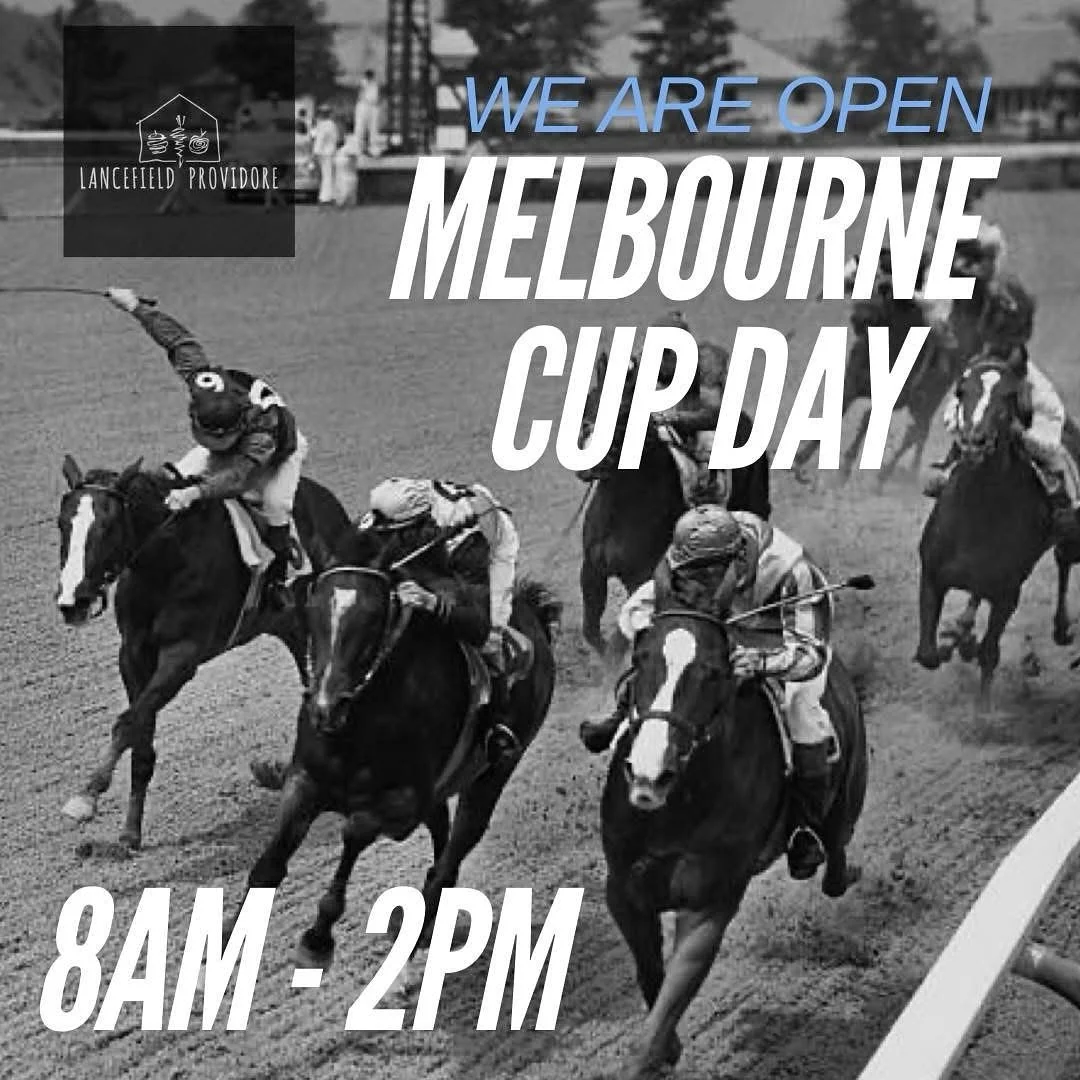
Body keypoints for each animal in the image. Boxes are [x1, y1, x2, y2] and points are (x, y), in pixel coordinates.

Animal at [55, 455, 352, 850]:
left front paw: (86, 796)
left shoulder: (182, 657)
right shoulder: (132, 654)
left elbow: (127, 721)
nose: (73, 602)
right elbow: (140, 736)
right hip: (289, 625)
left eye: (108, 526)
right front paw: (130, 833)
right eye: (62, 524)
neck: (166, 559)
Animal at [232, 524, 560, 969]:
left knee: (455, 851)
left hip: (493, 774)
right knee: (441, 837)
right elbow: (269, 865)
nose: (325, 707)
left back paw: (418, 931)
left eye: (373, 618)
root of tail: (535, 615)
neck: (359, 725)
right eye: (313, 610)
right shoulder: (305, 780)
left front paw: (318, 938)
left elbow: (354, 830)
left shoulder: (402, 804)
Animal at [576, 346, 772, 654]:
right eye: (588, 402)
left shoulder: (640, 577)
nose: (588, 467)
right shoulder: (592, 571)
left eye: (623, 411)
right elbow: (593, 634)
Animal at [601, 607, 866, 1078]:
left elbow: (669, 1000)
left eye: (710, 672)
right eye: (641, 659)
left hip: (847, 792)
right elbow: (651, 974)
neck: (678, 806)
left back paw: (835, 865)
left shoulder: (709, 901)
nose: (650, 775)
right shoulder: (623, 888)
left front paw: (654, 1053)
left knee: (835, 856)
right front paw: (670, 1048)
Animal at [914, 357, 1080, 708]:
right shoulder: (932, 574)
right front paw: (954, 639)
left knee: (1064, 559)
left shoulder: (1008, 593)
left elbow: (990, 652)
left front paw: (982, 712)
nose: (974, 441)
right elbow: (927, 655)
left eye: (1009, 396)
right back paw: (961, 630)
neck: (977, 511)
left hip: (1072, 538)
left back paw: (1061, 628)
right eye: (961, 390)